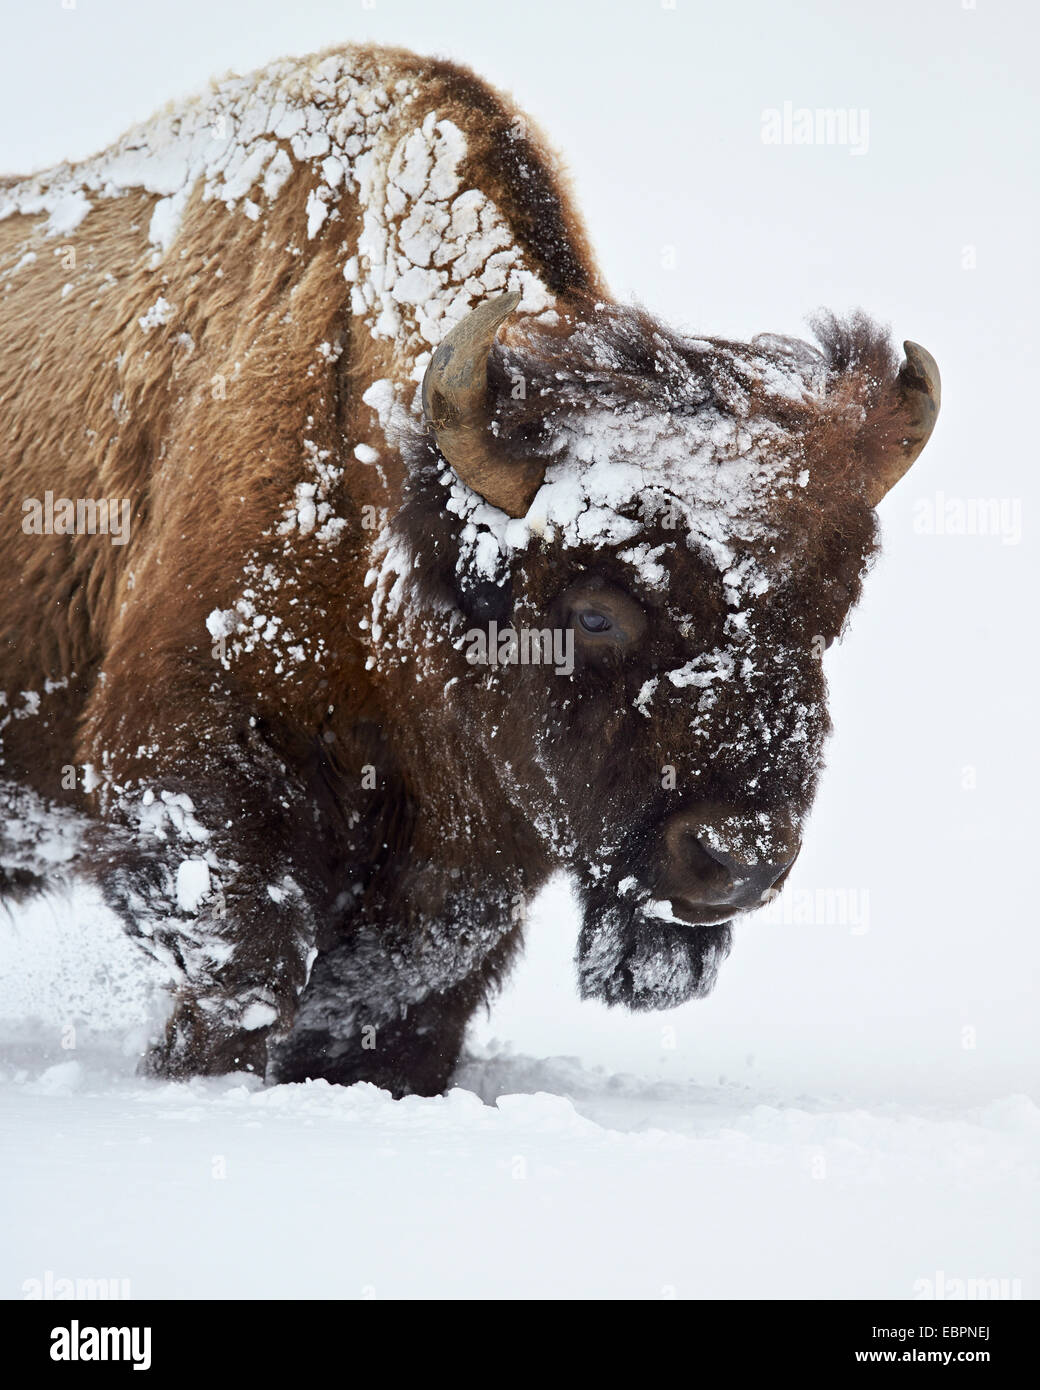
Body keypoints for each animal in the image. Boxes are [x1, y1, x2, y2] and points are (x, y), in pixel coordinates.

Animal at [0, 43, 939, 1095]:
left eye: (832, 609)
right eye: (596, 610)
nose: (738, 858)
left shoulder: (472, 858)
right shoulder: (181, 773)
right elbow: (248, 974)